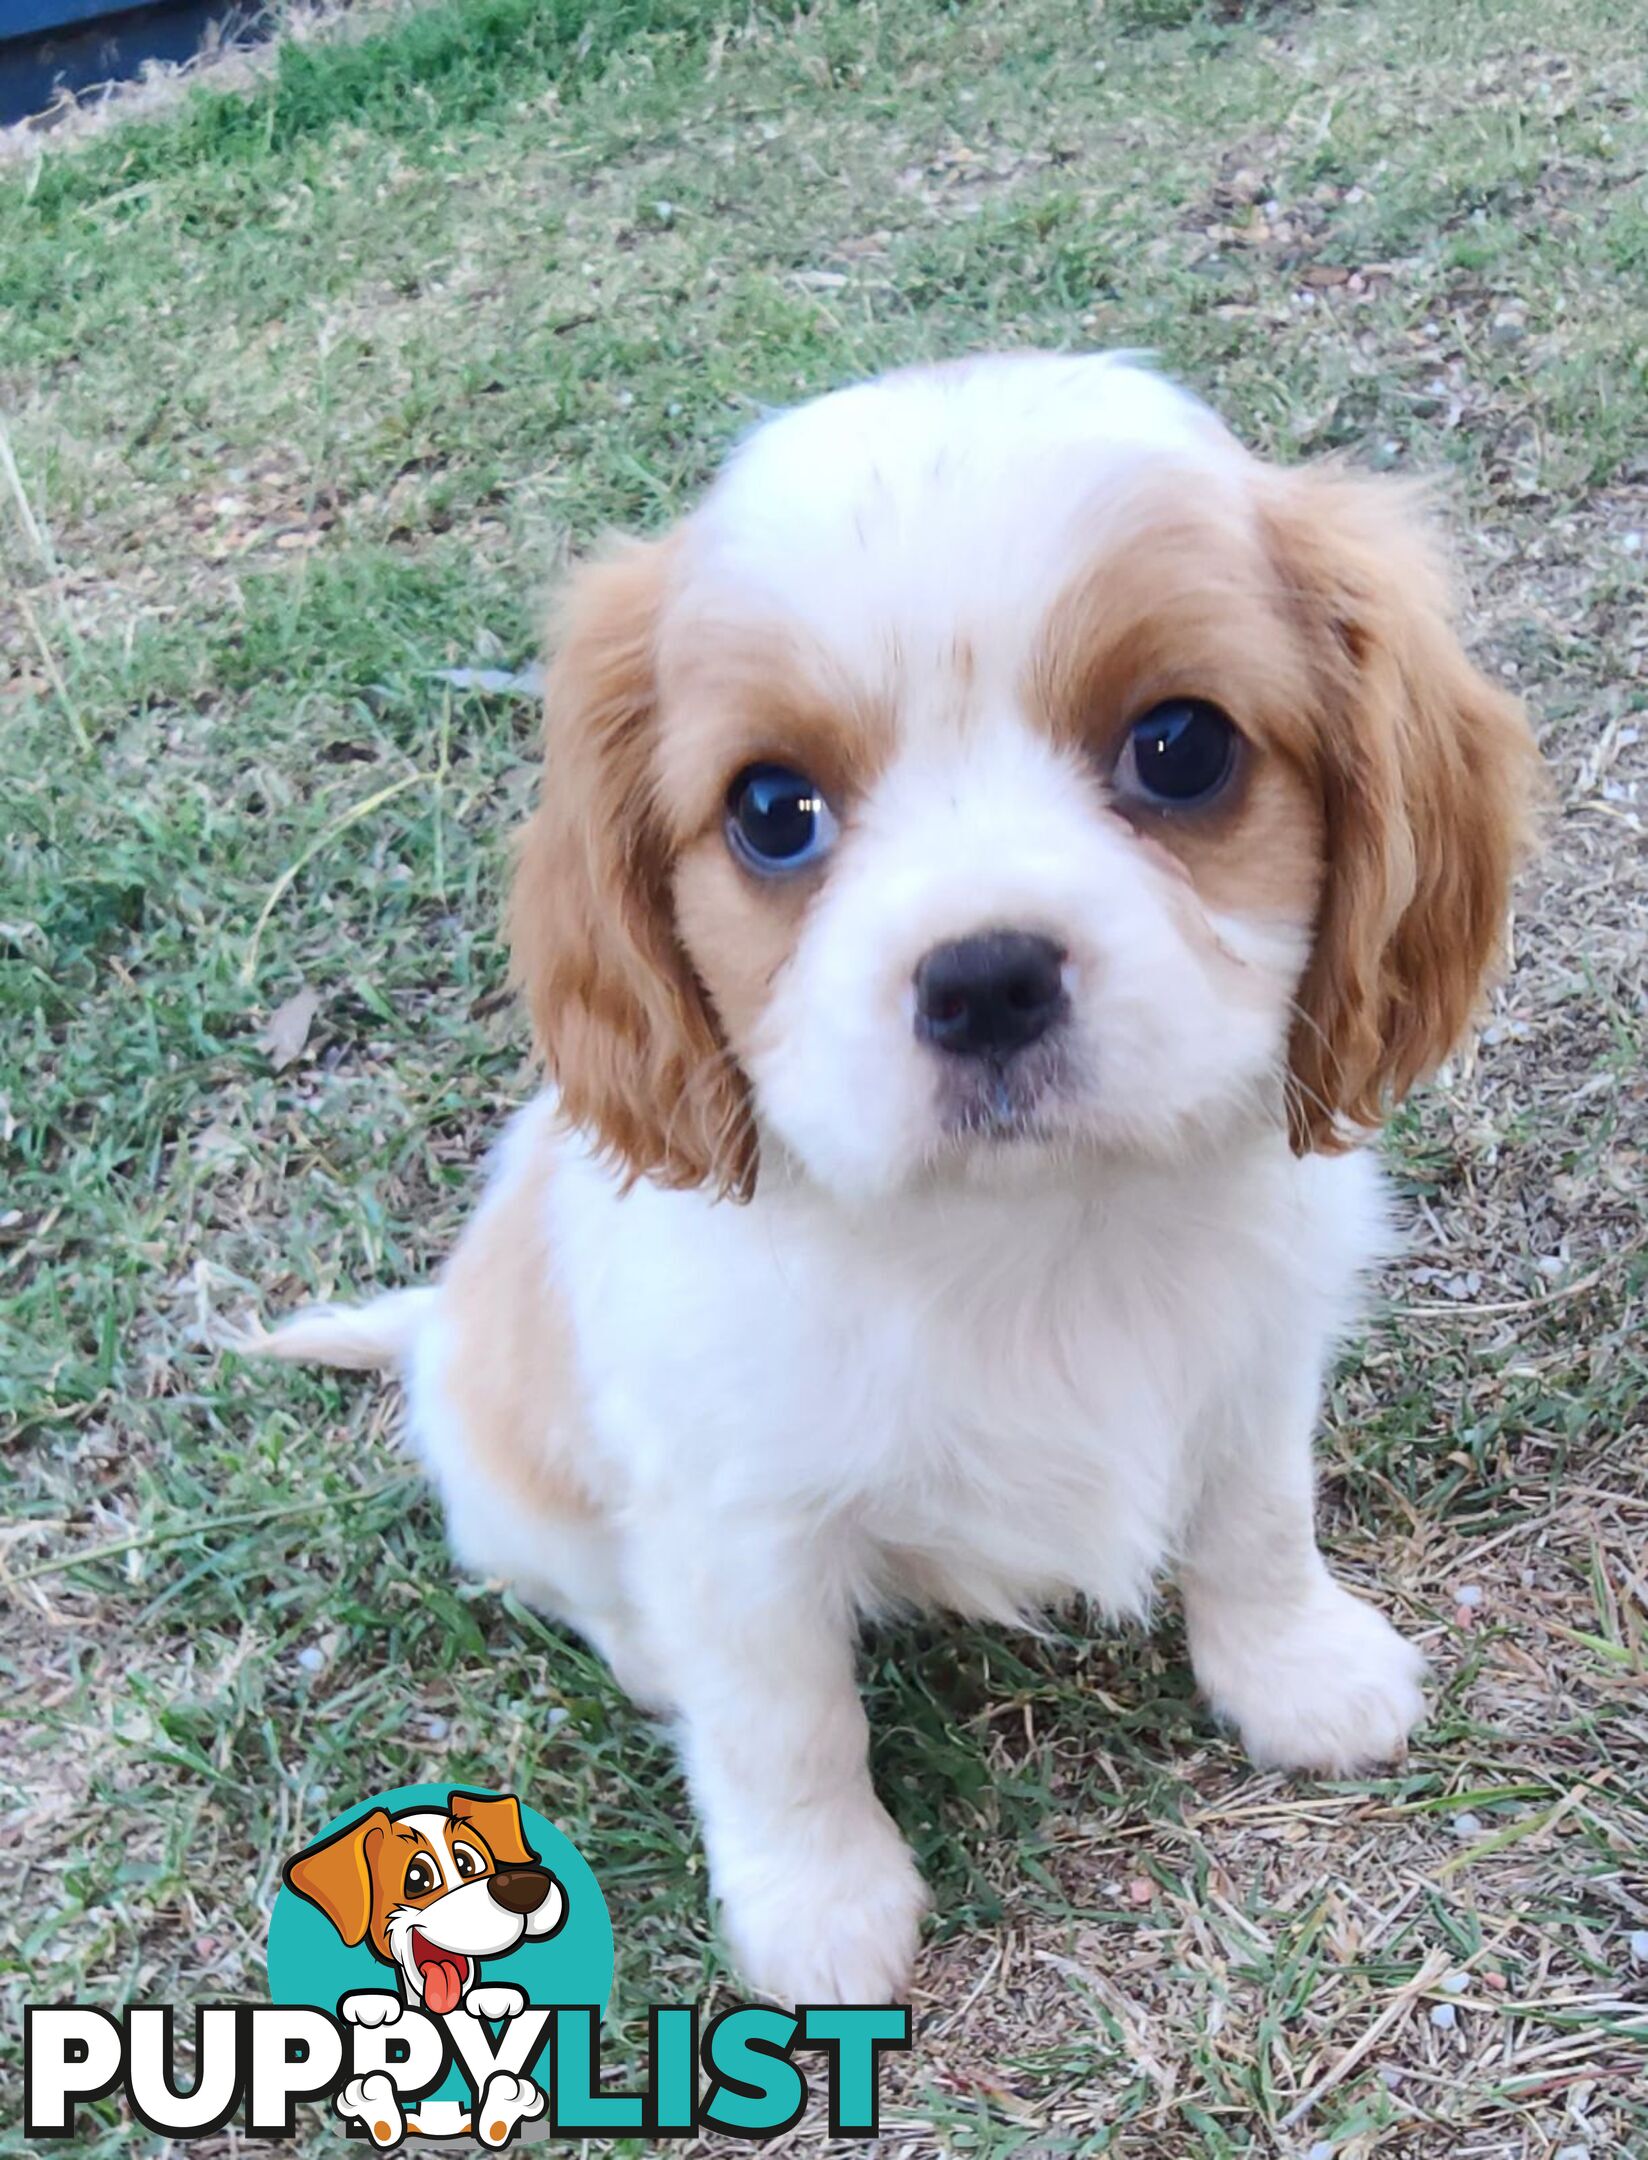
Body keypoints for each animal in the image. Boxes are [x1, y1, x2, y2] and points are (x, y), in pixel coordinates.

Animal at [264, 349, 1537, 1987]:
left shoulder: (1257, 1369)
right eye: (771, 810)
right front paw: (817, 1907)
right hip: (511, 1486)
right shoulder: (733, 1520)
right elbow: (784, 1725)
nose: (985, 980)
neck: (1031, 1234)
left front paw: (1295, 1670)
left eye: (1180, 746)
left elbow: (1257, 1523)